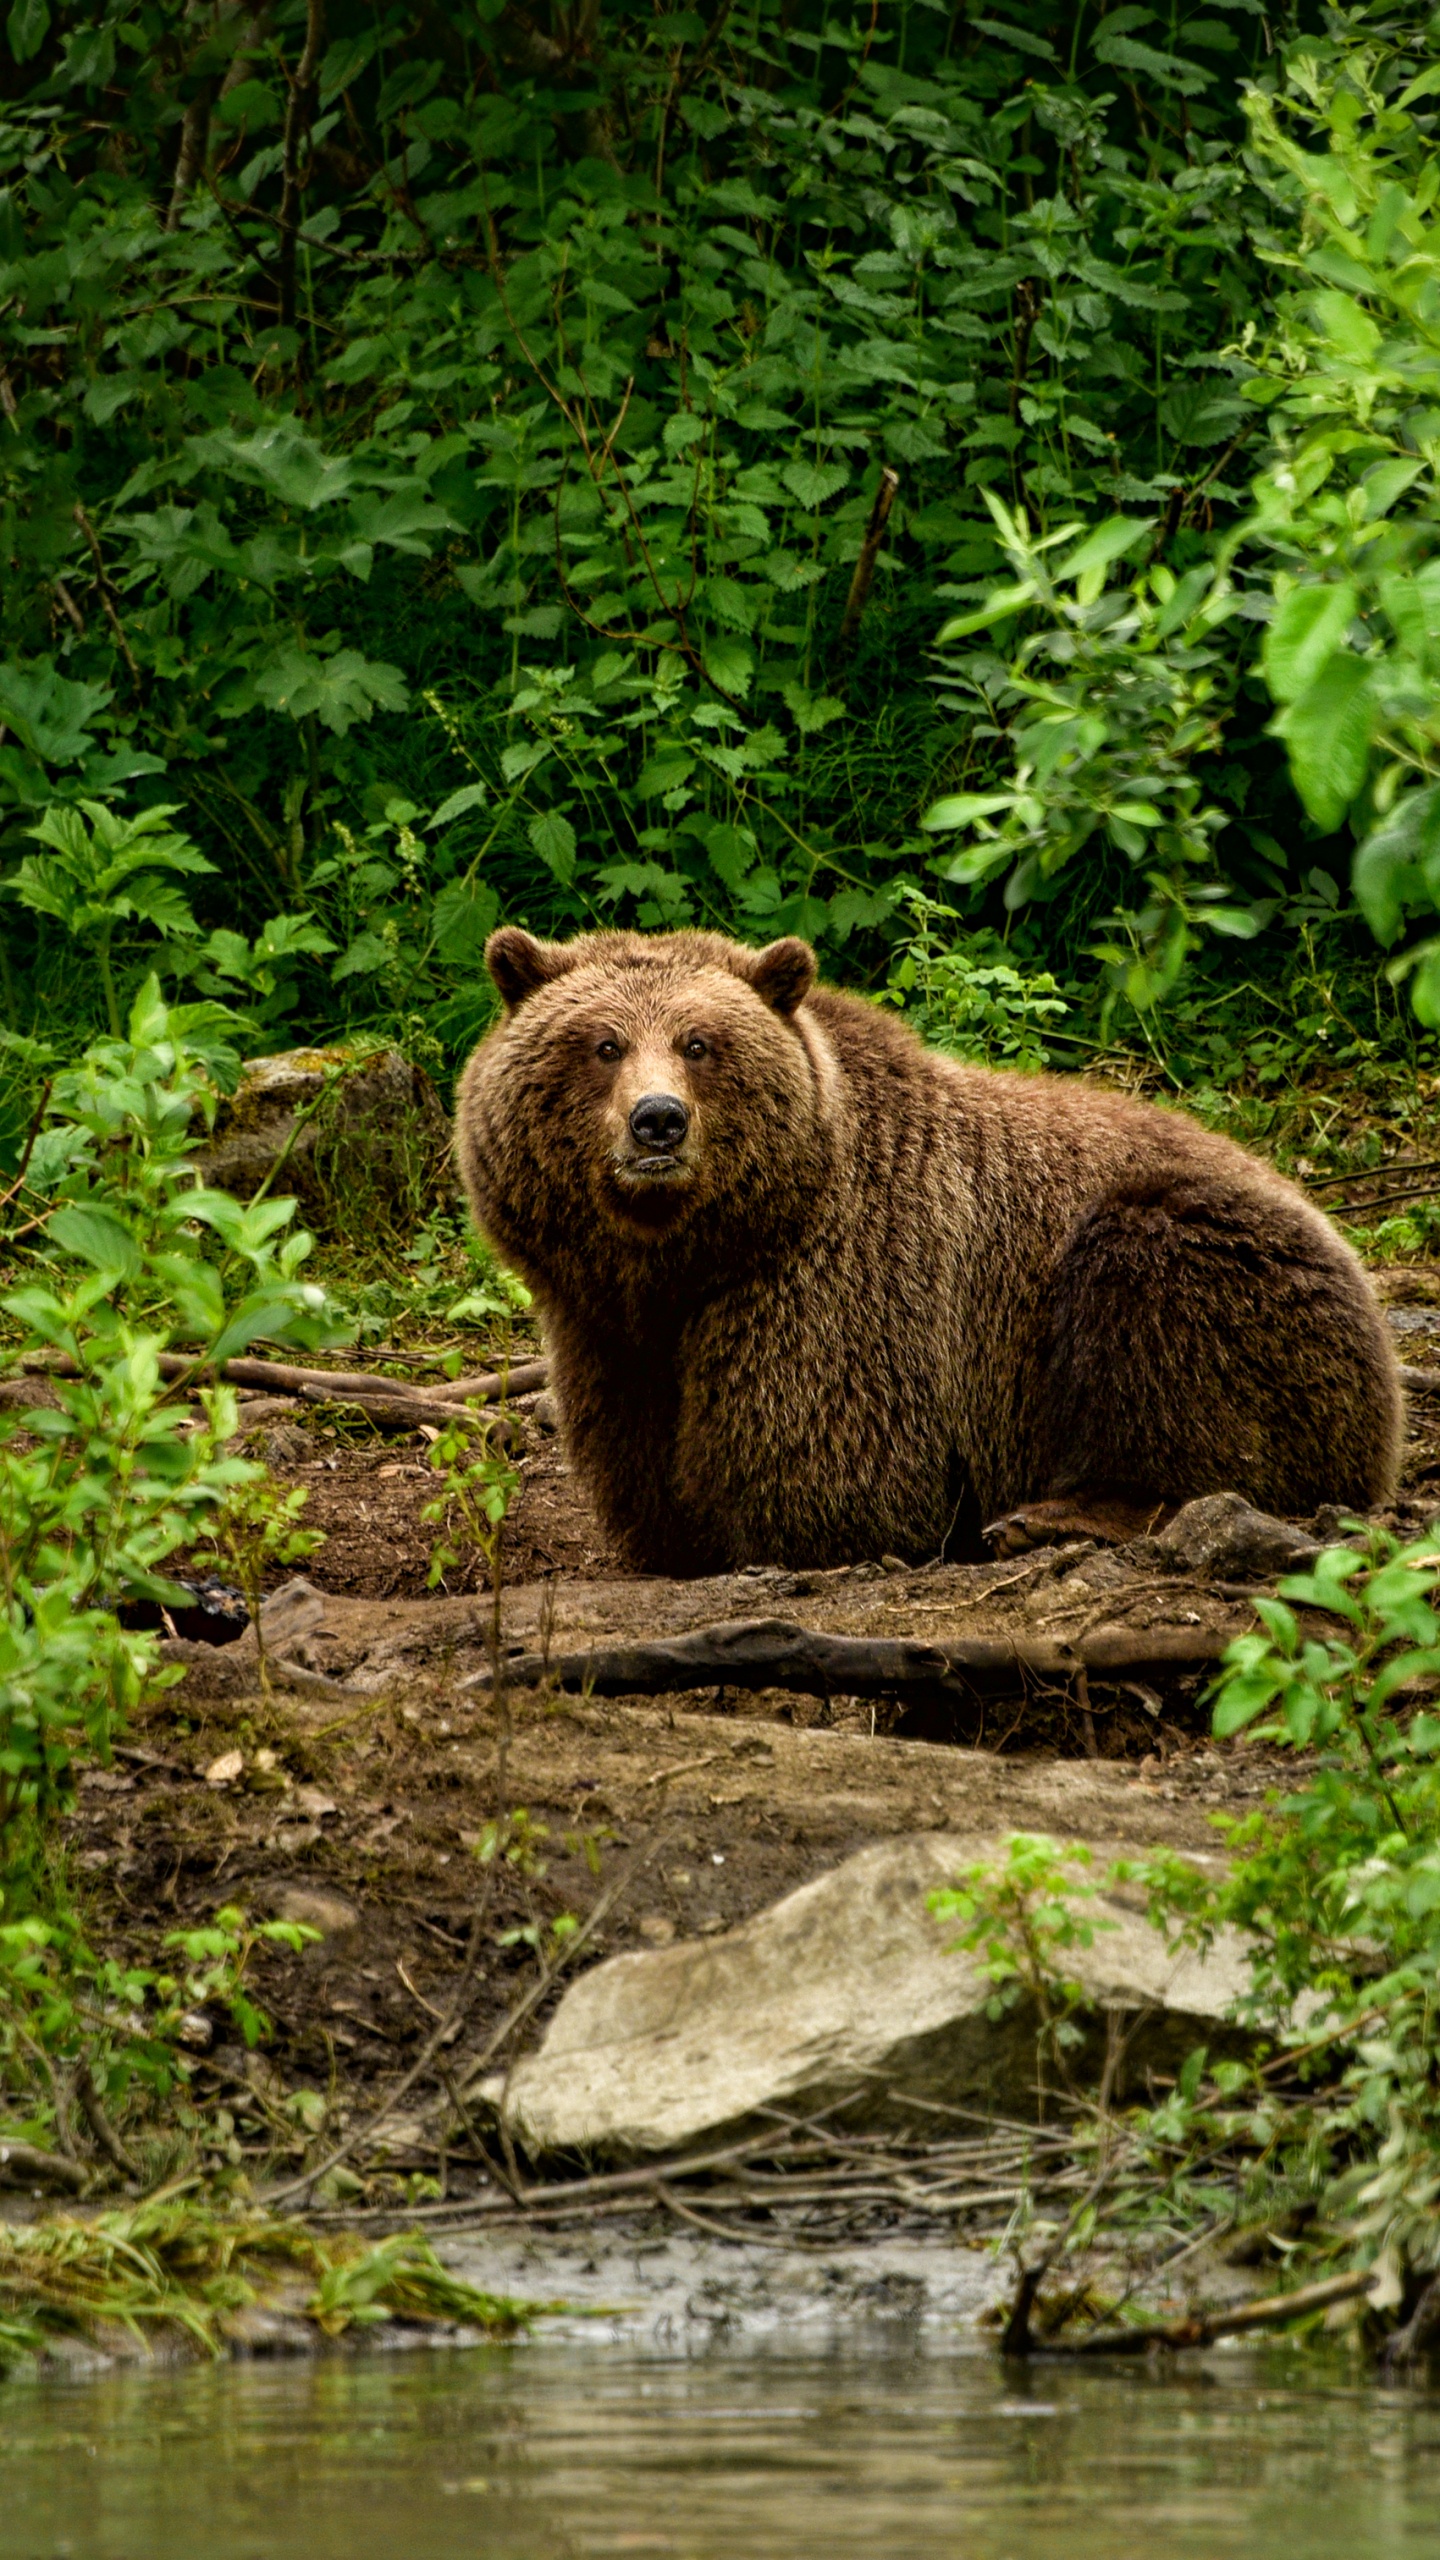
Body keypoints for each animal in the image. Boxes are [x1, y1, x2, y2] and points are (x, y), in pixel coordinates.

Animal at [453, 921, 1393, 1556]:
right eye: (603, 1043)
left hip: (1216, 1263)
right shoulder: (604, 1326)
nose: (658, 1121)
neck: (692, 1255)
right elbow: (638, 1458)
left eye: (699, 1042)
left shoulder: (841, 1287)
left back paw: (1051, 1515)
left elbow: (831, 1466)